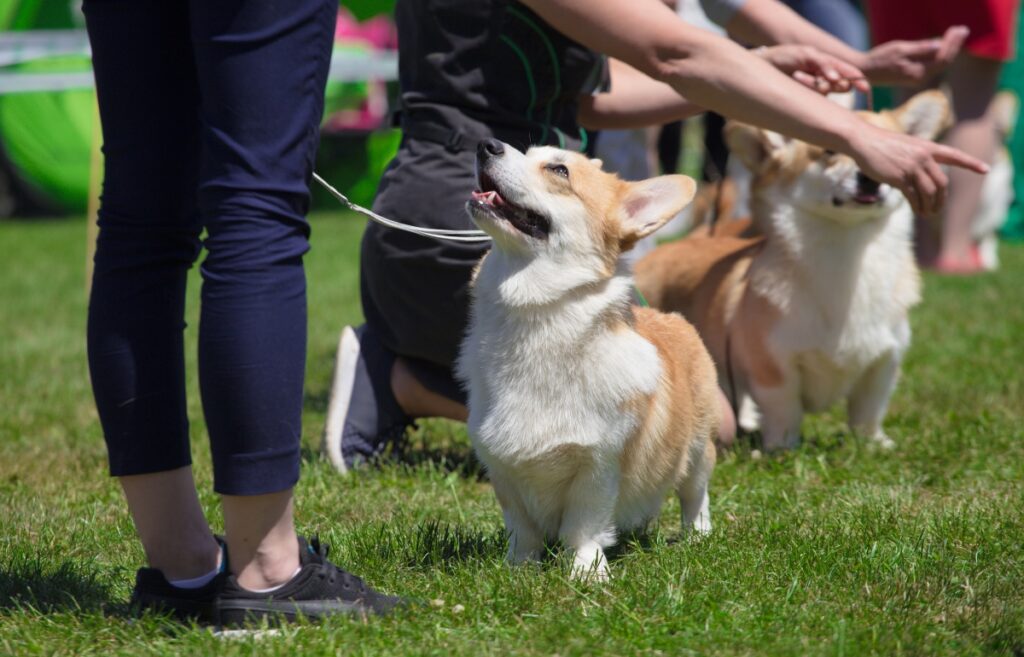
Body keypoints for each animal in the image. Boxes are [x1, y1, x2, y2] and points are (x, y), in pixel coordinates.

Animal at [456, 139, 720, 577]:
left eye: (559, 170)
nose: (486, 144)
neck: (535, 320)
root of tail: (669, 316)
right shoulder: (501, 467)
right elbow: (521, 529)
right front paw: (518, 568)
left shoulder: (598, 466)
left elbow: (582, 527)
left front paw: (587, 572)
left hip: (698, 448)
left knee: (694, 494)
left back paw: (697, 536)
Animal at [630, 91, 950, 450]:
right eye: (829, 150)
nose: (870, 178)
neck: (846, 248)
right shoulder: (773, 364)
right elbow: (785, 409)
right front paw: (782, 447)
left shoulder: (884, 359)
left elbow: (868, 408)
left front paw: (873, 444)